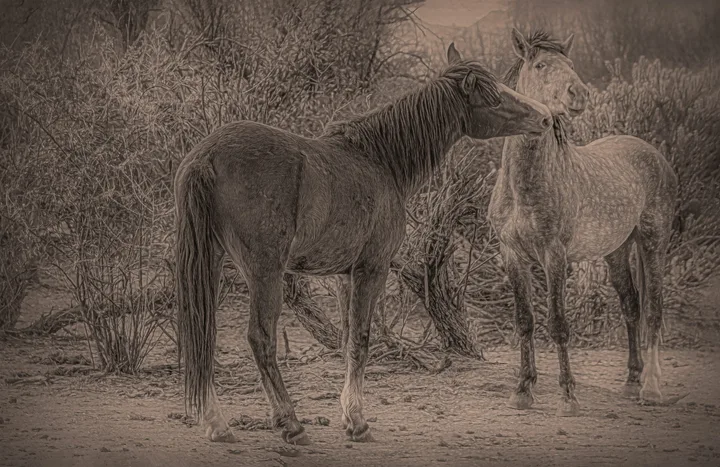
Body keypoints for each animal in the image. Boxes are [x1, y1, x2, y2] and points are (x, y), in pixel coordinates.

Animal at [174, 43, 552, 446]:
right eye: (494, 97)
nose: (546, 117)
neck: (380, 160)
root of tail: (205, 157)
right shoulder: (372, 268)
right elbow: (362, 339)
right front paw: (356, 420)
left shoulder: (344, 274)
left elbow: (346, 341)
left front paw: (346, 413)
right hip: (265, 272)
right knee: (260, 338)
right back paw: (289, 423)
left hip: (212, 262)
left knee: (203, 334)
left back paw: (217, 423)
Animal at [488, 29, 678, 416]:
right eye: (541, 65)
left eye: (571, 64)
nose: (579, 94)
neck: (524, 185)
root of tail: (653, 154)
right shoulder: (512, 255)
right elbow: (525, 322)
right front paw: (523, 391)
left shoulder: (554, 256)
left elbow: (558, 324)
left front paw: (568, 396)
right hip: (617, 251)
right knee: (632, 307)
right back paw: (631, 381)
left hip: (653, 242)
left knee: (653, 308)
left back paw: (651, 387)